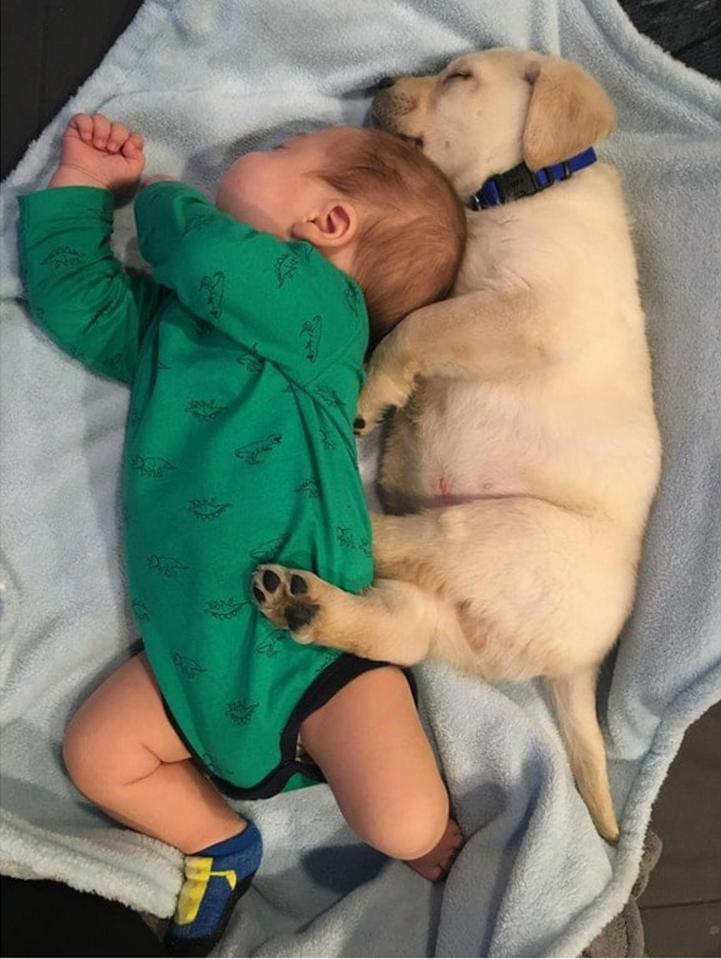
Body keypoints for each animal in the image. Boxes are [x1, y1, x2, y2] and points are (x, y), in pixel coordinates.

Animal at [252, 48, 660, 844]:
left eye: (459, 77)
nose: (379, 83)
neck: (520, 190)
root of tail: (580, 666)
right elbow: (418, 318)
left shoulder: (528, 311)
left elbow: (420, 327)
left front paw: (372, 393)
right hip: (460, 620)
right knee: (404, 630)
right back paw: (308, 608)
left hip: (498, 532)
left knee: (401, 545)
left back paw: (337, 520)